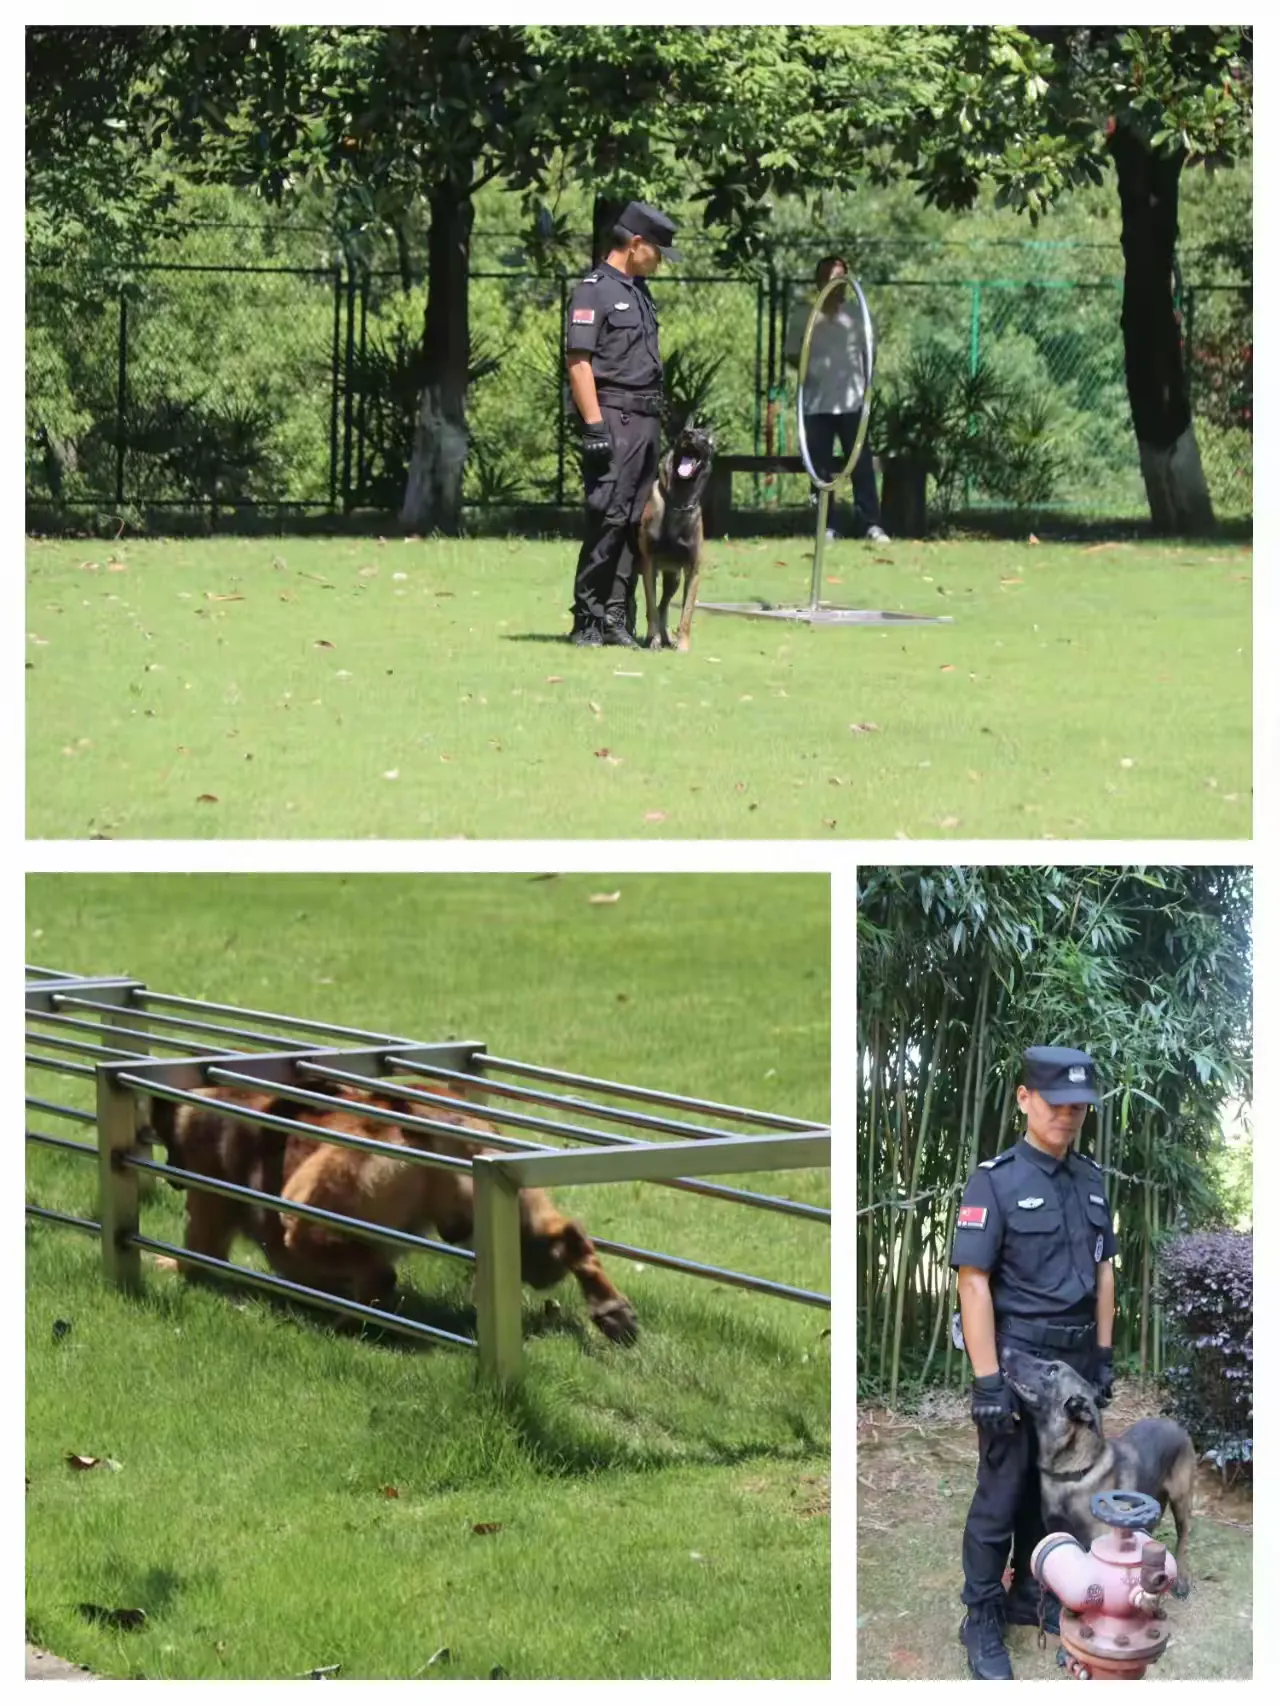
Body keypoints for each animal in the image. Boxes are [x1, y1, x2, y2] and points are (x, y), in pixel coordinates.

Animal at [145, 1078, 641, 1344]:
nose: (171, 1175)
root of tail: (430, 1117)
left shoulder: (208, 1205)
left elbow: (196, 1253)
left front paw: (167, 1265)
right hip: (514, 1222)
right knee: (565, 1240)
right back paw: (610, 1307)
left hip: (307, 1209)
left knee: (372, 1269)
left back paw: (352, 1320)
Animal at [641, 423, 723, 648]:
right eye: (682, 434)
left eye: (703, 434)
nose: (689, 434)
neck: (679, 499)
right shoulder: (649, 564)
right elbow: (651, 606)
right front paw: (653, 639)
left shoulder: (692, 571)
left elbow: (687, 611)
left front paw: (683, 645)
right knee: (657, 607)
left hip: (674, 579)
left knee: (664, 606)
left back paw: (668, 639)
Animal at [1003, 1344, 1201, 1596]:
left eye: (1052, 1370)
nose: (1006, 1350)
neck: (1073, 1472)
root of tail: (1176, 1425)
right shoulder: (1059, 1532)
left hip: (1181, 1501)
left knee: (1183, 1538)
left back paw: (1182, 1580)